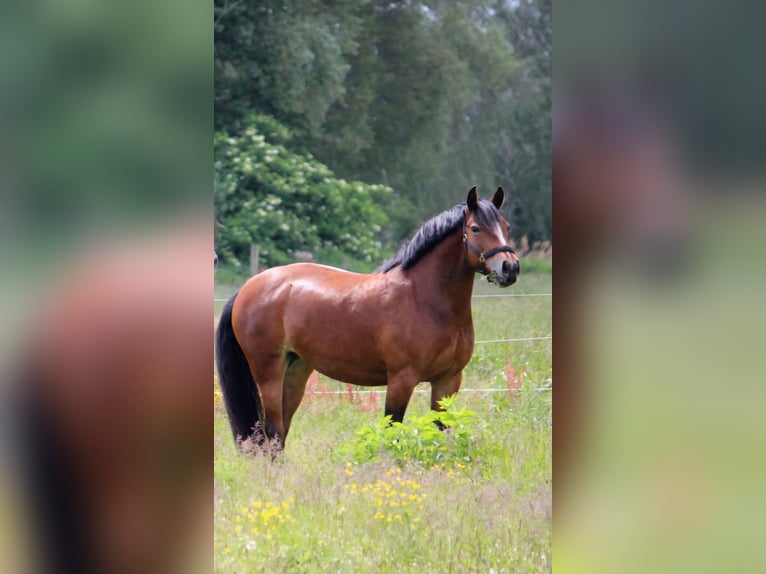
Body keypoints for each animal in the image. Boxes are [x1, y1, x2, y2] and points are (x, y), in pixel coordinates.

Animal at [216, 187, 520, 452]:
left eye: (506, 227)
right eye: (475, 228)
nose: (510, 267)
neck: (423, 298)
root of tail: (249, 286)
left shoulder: (448, 381)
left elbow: (441, 431)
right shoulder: (401, 381)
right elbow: (392, 431)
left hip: (296, 371)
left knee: (279, 435)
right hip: (268, 372)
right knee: (272, 432)